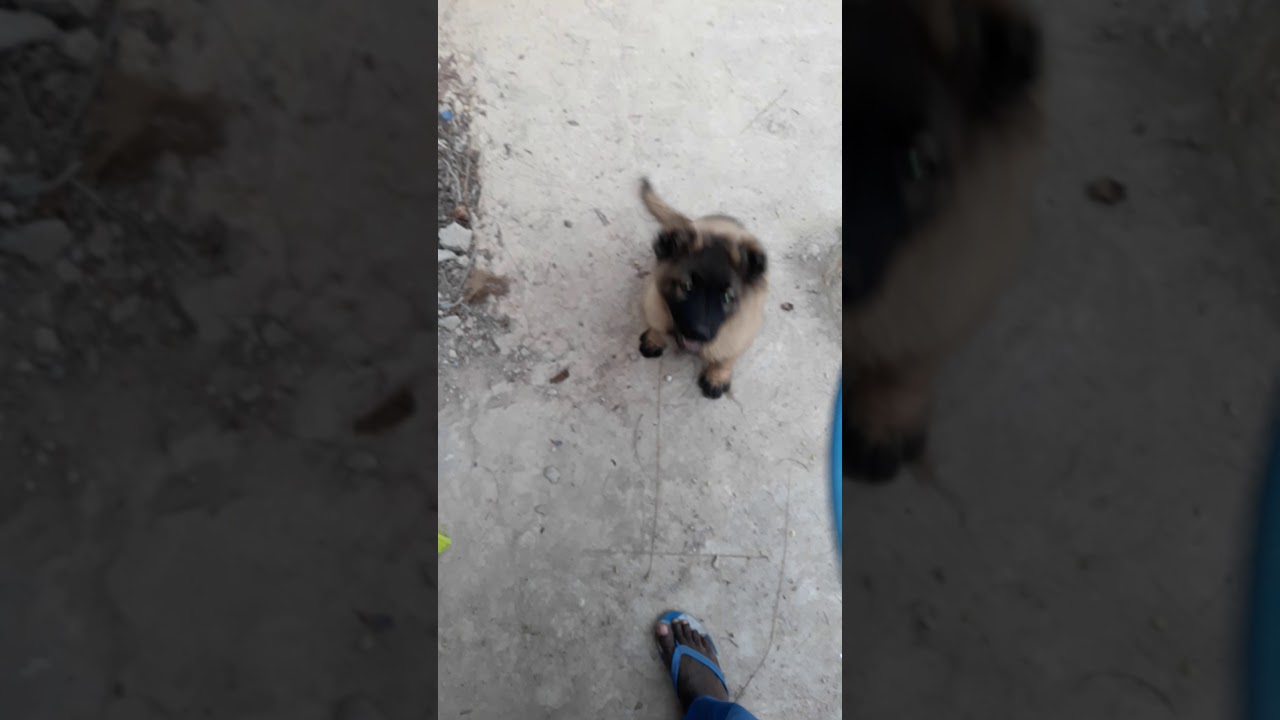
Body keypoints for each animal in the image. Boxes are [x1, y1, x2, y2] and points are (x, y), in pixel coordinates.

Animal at [640, 175, 768, 394]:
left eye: (727, 297)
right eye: (687, 286)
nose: (698, 333)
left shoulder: (742, 331)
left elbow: (727, 357)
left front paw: (717, 377)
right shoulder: (654, 303)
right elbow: (657, 325)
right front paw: (654, 339)